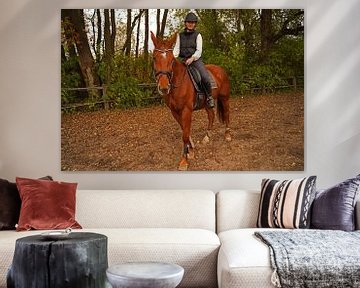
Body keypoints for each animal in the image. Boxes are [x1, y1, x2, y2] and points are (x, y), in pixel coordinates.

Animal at [151, 32, 231, 170]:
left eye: (172, 60)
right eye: (154, 58)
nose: (164, 87)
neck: (178, 83)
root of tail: (220, 69)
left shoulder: (186, 111)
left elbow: (185, 134)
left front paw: (184, 160)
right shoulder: (175, 112)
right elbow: (185, 131)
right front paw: (191, 151)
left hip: (224, 98)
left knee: (226, 113)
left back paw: (227, 135)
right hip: (206, 103)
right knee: (211, 115)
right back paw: (207, 137)